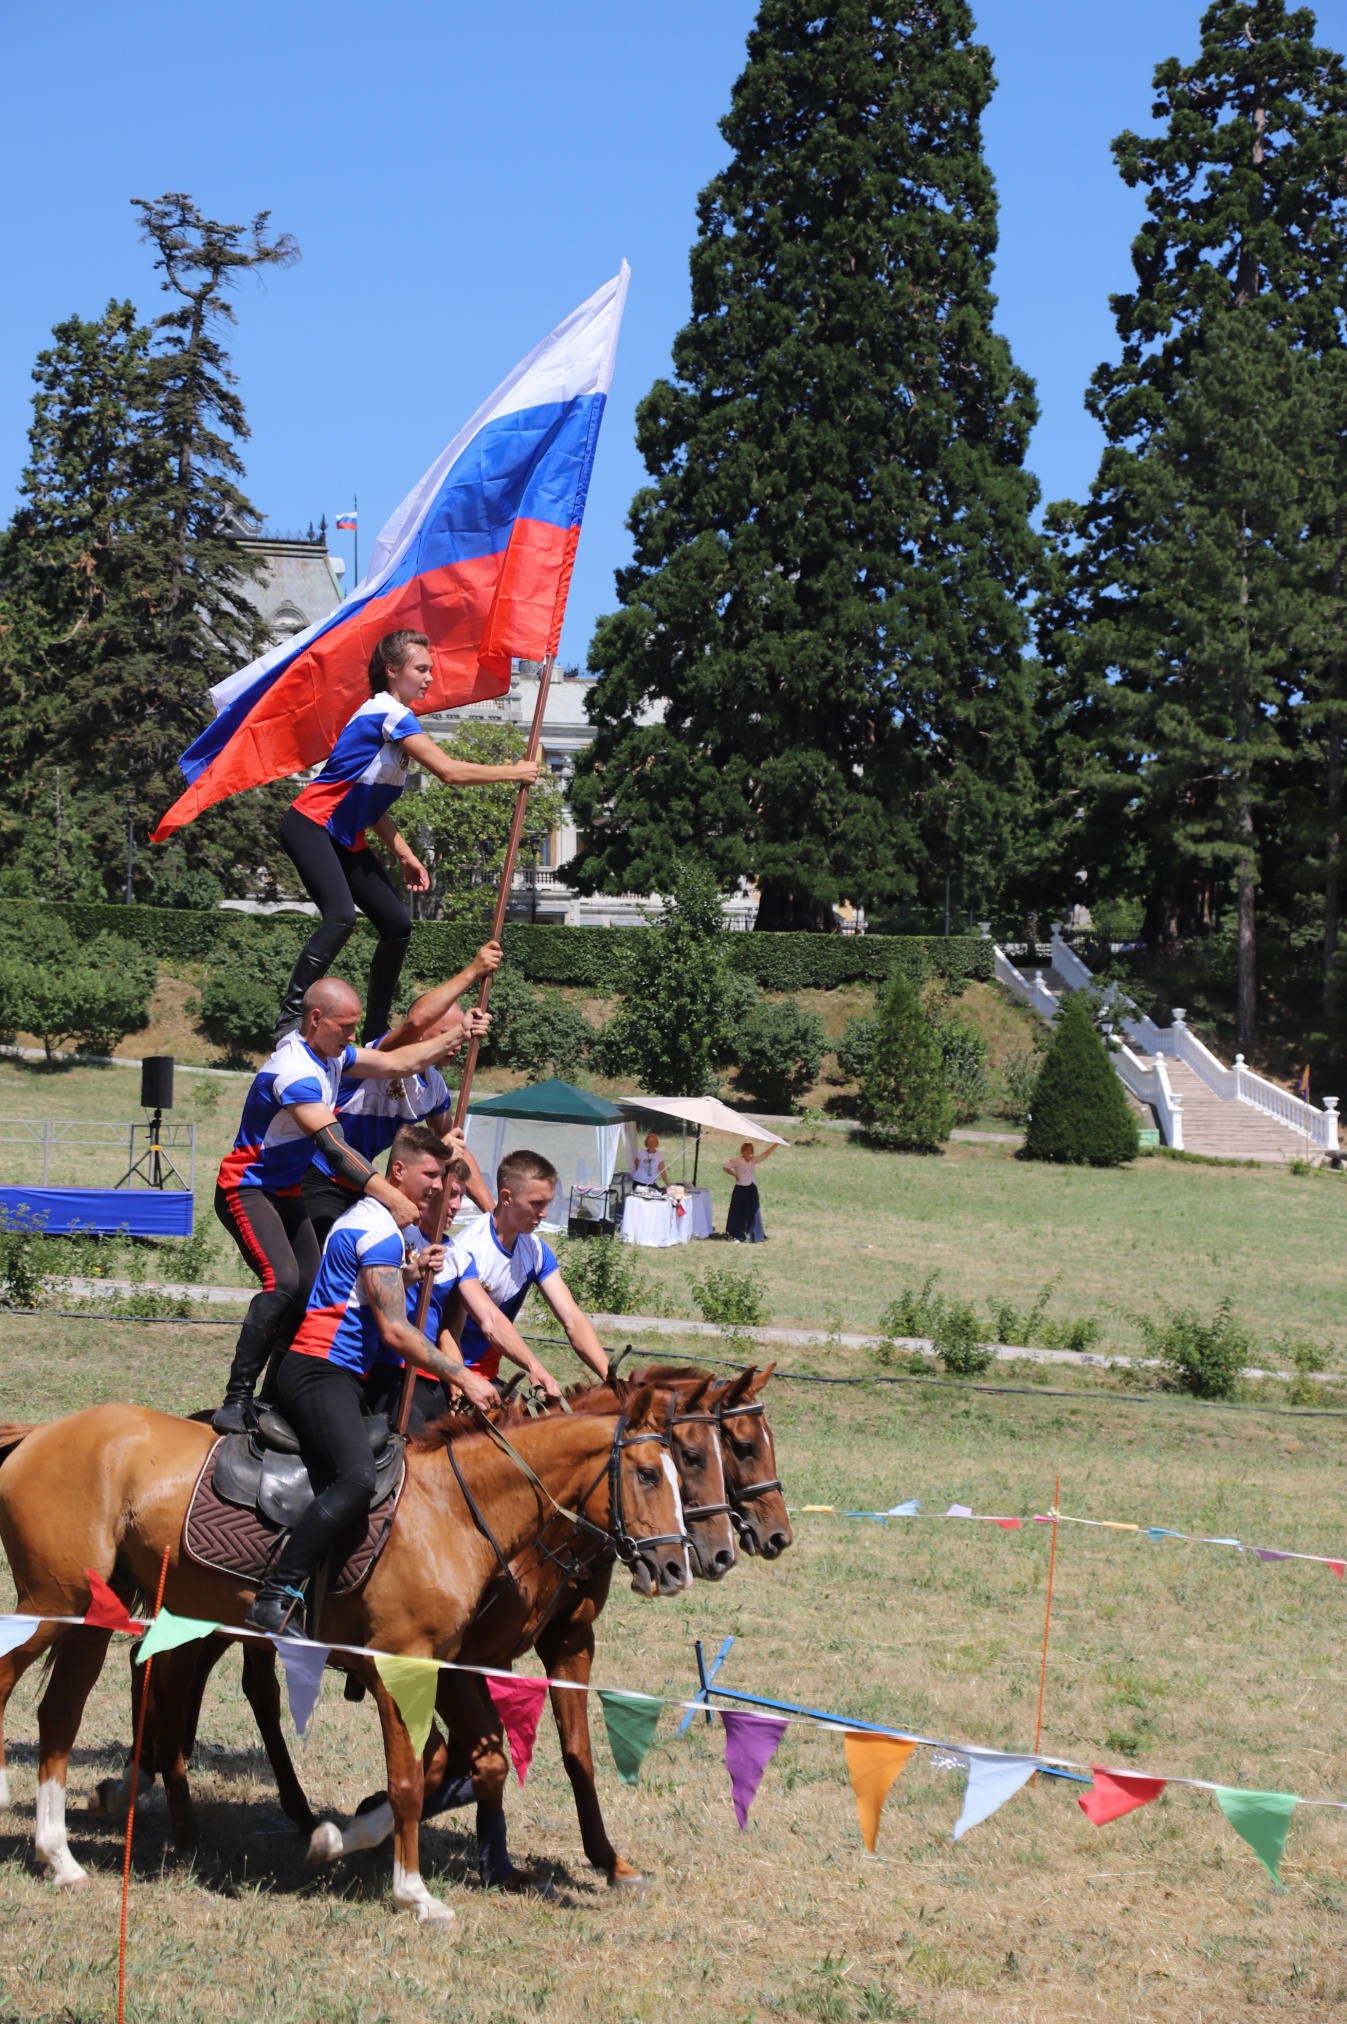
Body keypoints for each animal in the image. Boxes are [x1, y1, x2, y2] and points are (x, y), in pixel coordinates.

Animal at [0, 1376, 687, 1926]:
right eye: (648, 1474)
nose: (678, 1567)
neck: (453, 1510)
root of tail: (42, 1433)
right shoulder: (402, 1668)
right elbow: (408, 1782)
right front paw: (414, 1895)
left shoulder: (450, 1667)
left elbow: (468, 1764)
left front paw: (339, 1840)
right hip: (49, 1602)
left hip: (94, 1612)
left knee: (61, 1715)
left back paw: (62, 1856)